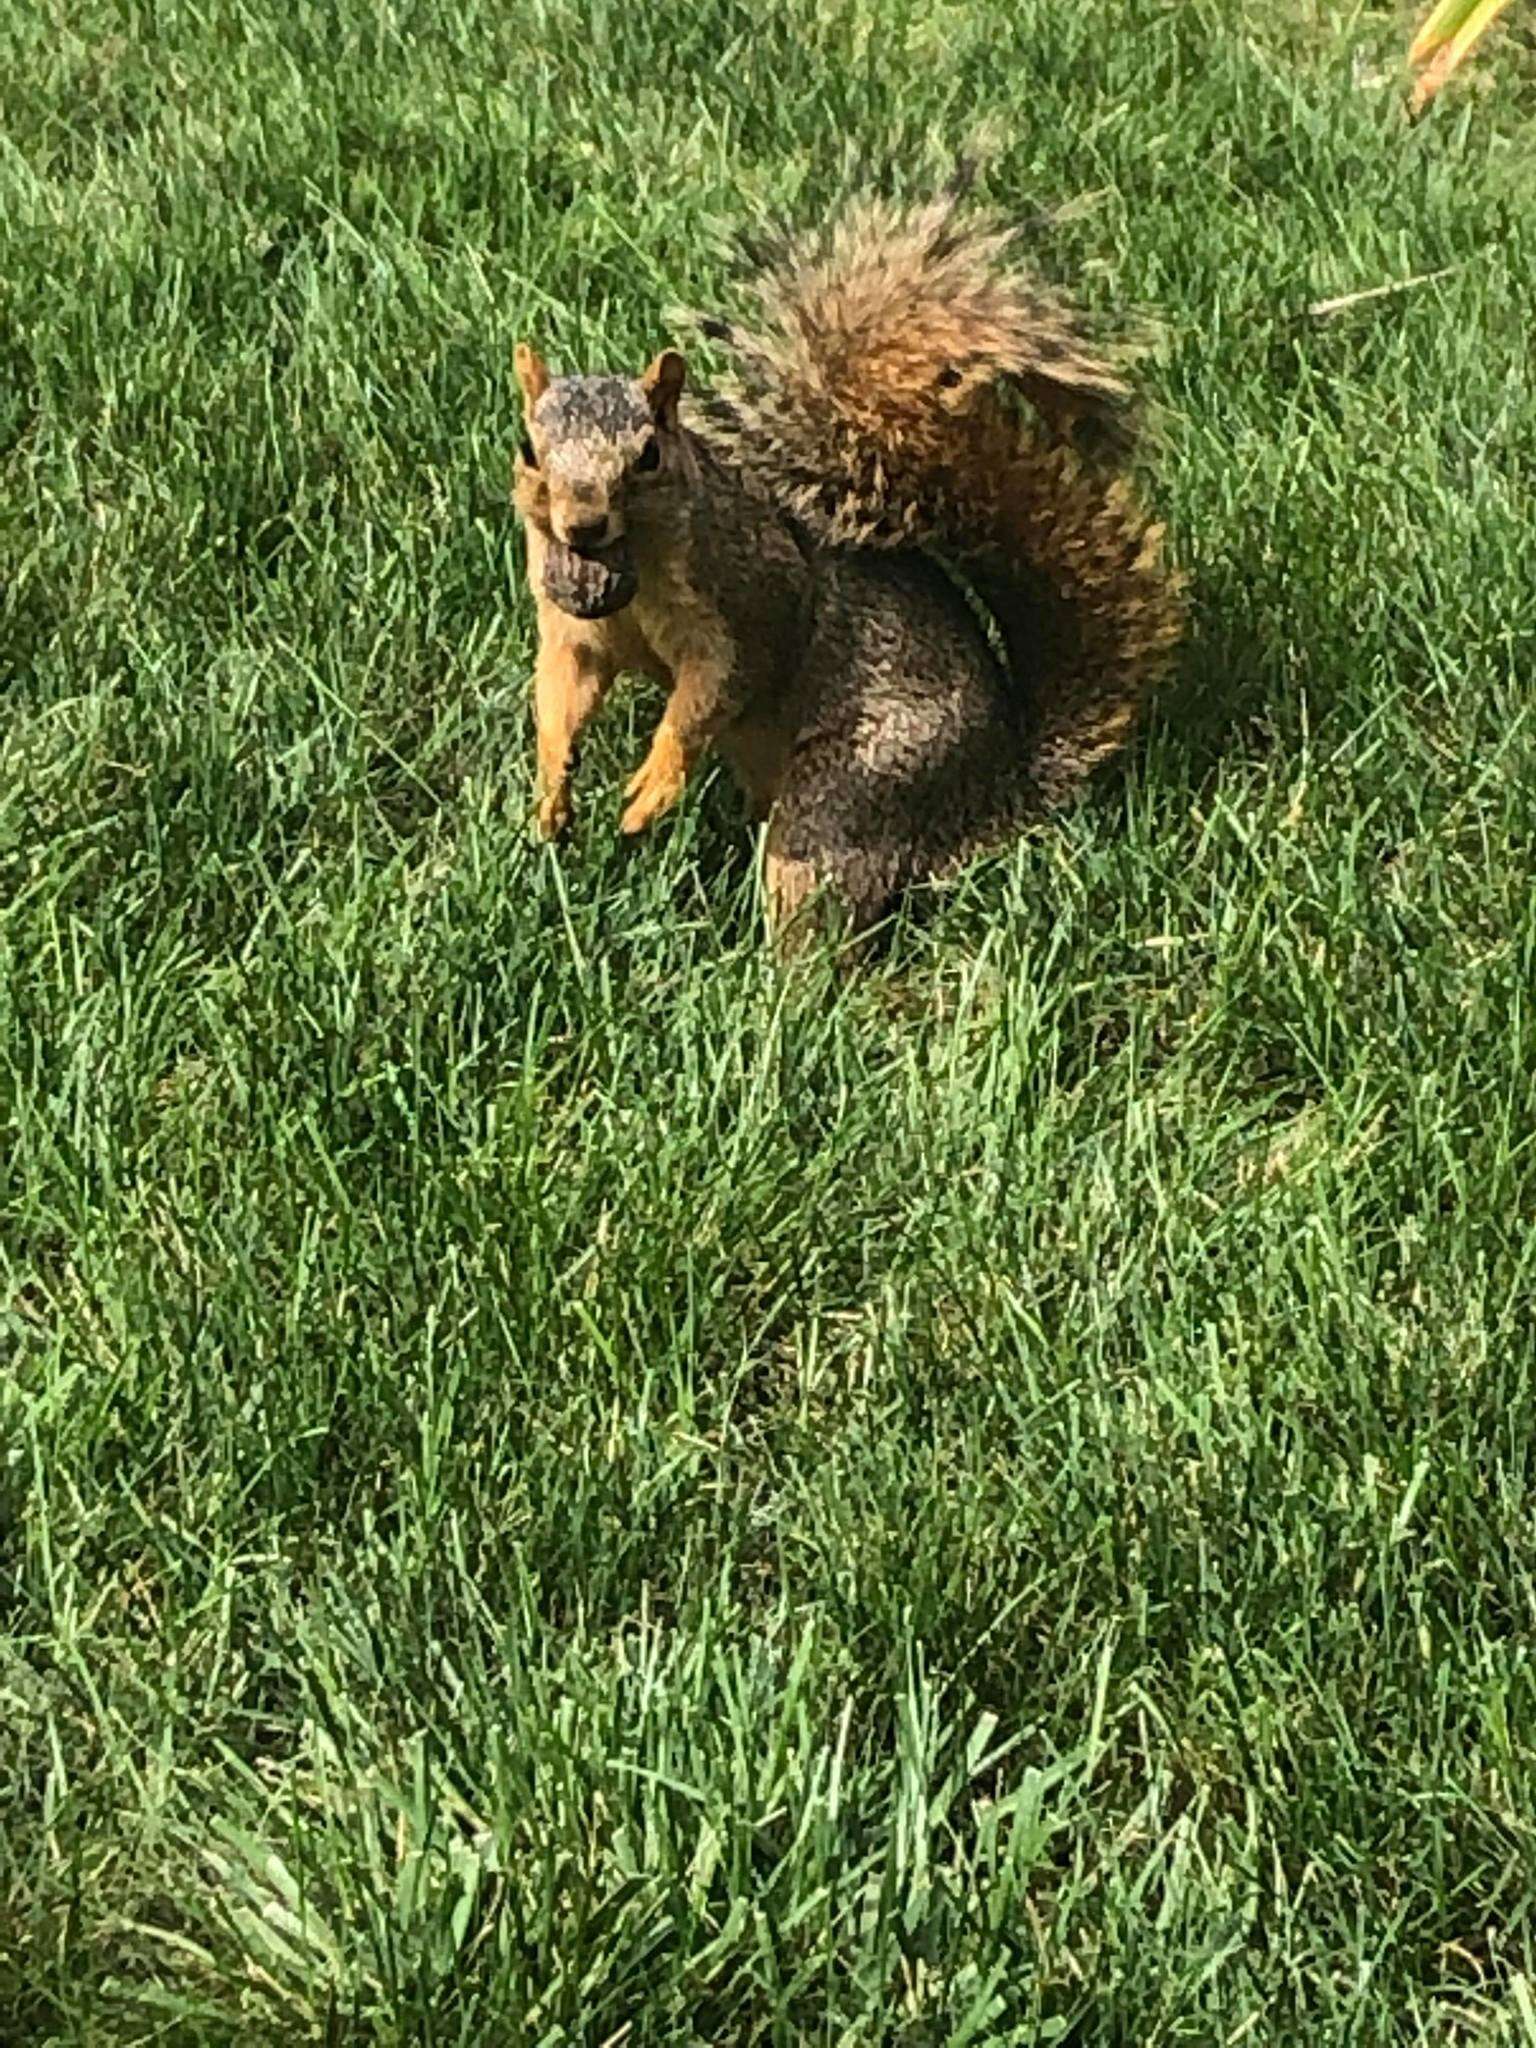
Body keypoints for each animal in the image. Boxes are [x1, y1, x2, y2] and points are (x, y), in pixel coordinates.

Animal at [518, 184, 1187, 942]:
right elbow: (563, 691)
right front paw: (551, 791)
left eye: (650, 456)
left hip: (854, 791)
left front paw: (655, 785)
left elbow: (719, 685)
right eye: (527, 449)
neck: (636, 574)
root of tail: (992, 793)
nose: (583, 526)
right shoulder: (572, 627)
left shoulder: (752, 597)